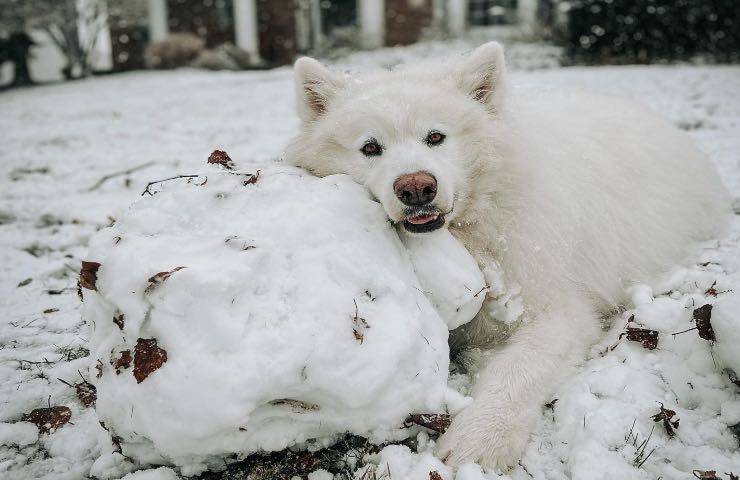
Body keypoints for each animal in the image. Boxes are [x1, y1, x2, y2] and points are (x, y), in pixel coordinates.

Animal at [282, 43, 728, 470]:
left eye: (435, 137)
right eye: (371, 147)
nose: (416, 187)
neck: (474, 233)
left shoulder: (558, 311)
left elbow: (518, 368)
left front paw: (480, 440)